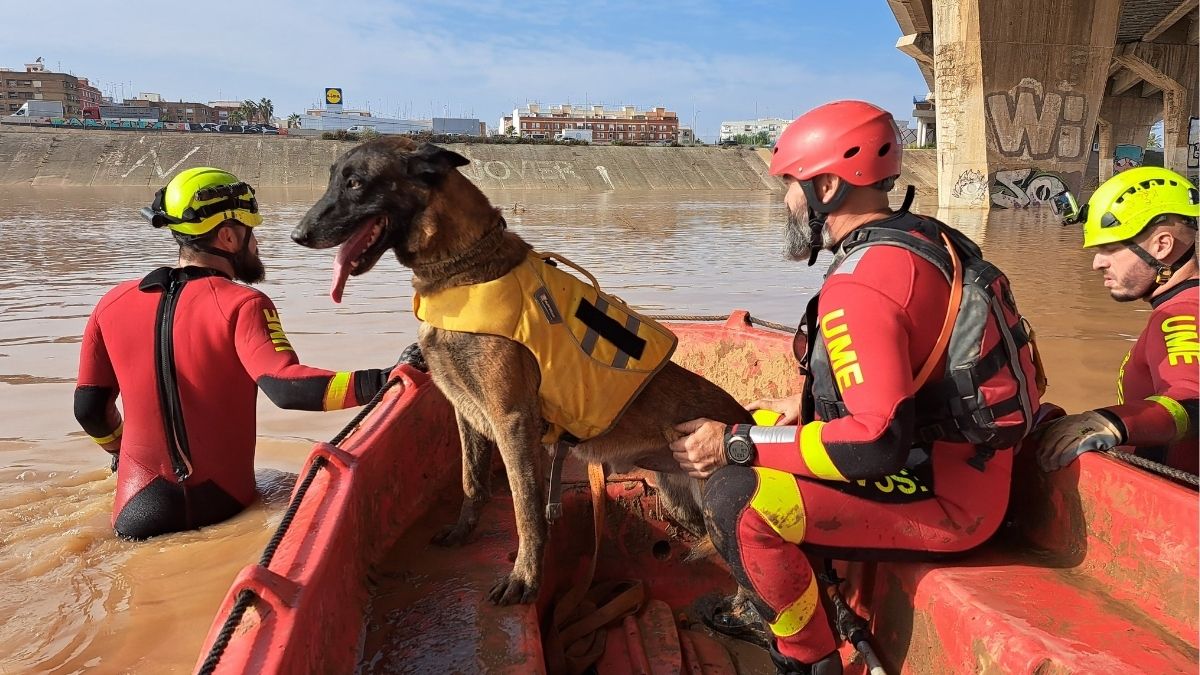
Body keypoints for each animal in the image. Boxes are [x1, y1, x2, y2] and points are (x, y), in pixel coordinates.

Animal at [290, 138, 748, 605]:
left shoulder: (511, 421)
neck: (463, 268)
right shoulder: (466, 410)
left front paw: (524, 578)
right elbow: (472, 480)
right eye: (332, 178)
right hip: (677, 500)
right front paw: (463, 531)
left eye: (355, 182)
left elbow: (525, 509)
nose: (298, 235)